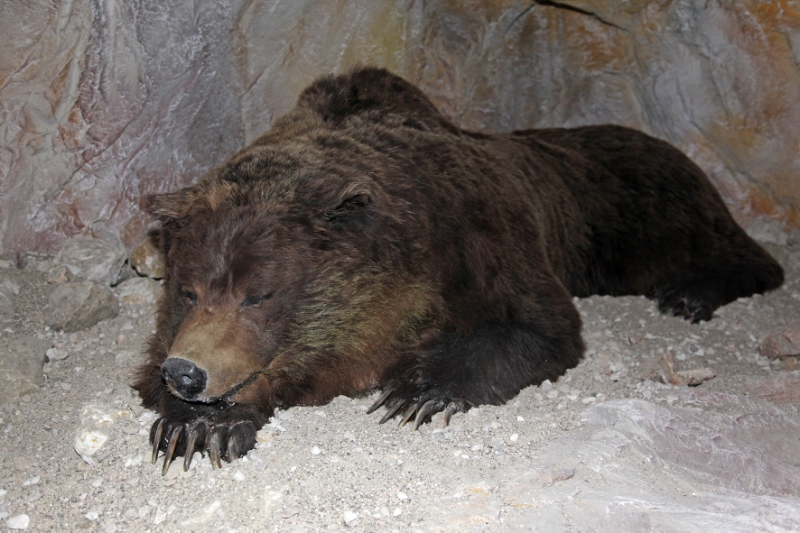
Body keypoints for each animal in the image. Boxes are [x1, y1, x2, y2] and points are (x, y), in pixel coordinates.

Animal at [133, 67, 784, 474]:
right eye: (188, 291)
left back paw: (690, 293)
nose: (186, 373)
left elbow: (536, 325)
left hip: (640, 207)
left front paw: (417, 392)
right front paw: (196, 429)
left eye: (258, 294)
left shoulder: (480, 234)